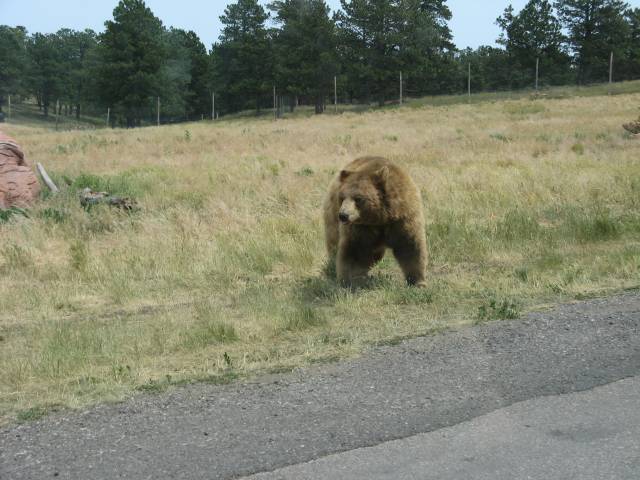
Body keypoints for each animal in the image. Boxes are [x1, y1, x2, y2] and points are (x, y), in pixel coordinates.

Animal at [322, 156, 428, 286]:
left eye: (358, 198)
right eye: (342, 197)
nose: (343, 215)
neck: (380, 218)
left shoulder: (402, 219)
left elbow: (410, 246)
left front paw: (418, 282)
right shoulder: (360, 228)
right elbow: (354, 251)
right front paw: (351, 280)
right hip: (332, 214)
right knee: (334, 242)